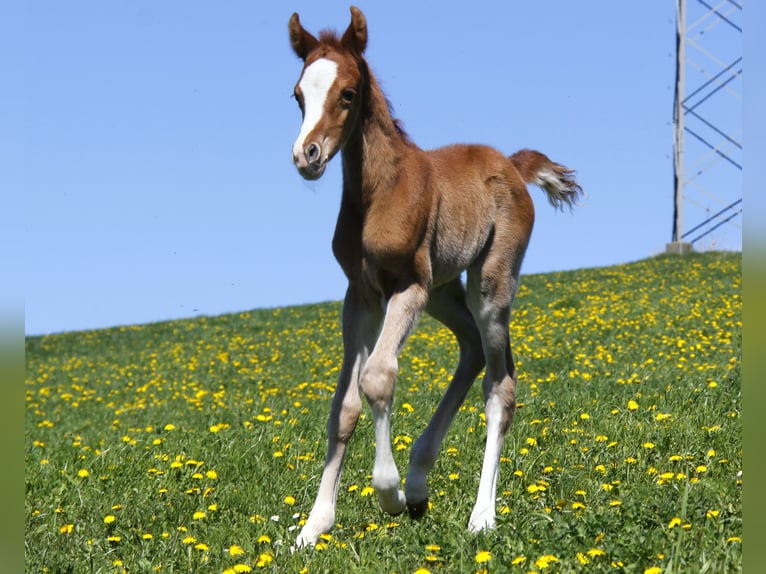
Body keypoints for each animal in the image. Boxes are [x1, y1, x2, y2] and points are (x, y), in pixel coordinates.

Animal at [288, 6, 582, 547]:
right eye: (298, 94)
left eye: (347, 93)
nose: (307, 155)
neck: (379, 192)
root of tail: (512, 164)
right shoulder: (360, 294)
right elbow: (344, 405)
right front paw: (313, 527)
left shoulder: (408, 285)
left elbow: (378, 377)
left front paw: (388, 493)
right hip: (444, 290)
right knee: (470, 350)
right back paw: (421, 481)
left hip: (488, 286)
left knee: (500, 384)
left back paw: (480, 515)